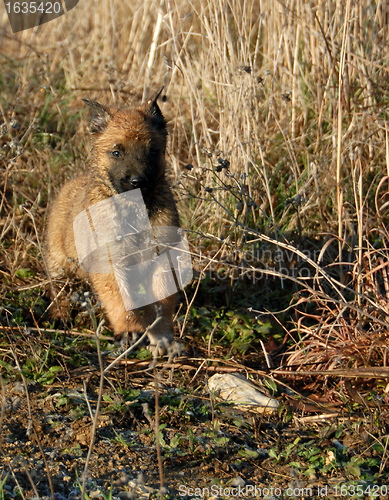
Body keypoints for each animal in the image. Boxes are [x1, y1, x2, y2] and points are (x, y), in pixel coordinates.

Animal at [45, 91, 179, 356]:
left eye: (152, 151)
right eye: (117, 152)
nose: (138, 182)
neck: (134, 211)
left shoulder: (162, 258)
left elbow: (161, 301)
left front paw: (162, 336)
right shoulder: (108, 264)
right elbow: (119, 300)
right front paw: (129, 330)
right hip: (59, 263)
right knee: (60, 292)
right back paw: (59, 316)